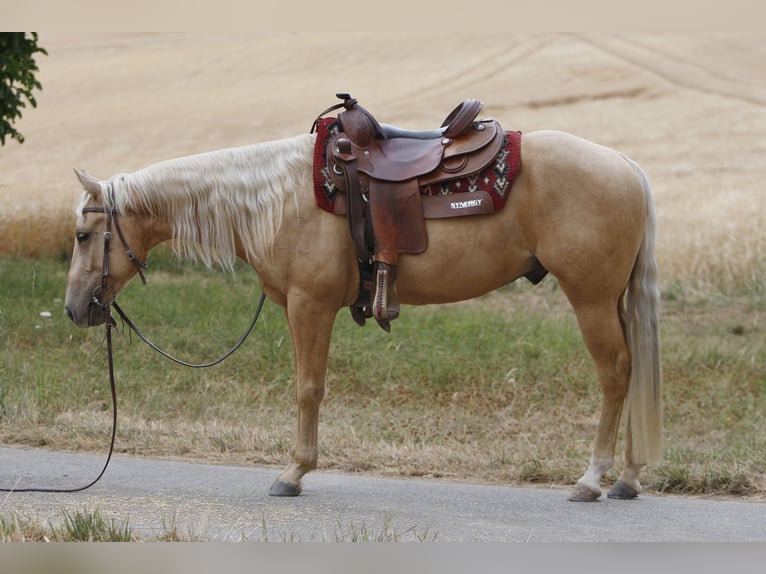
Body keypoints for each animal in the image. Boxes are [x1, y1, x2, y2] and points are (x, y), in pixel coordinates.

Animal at [64, 125, 662, 502]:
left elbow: (308, 388)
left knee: (615, 374)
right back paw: (628, 478)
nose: (74, 309)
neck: (278, 198)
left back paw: (592, 479)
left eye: (84, 235)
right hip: (610, 300)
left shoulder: (310, 305)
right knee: (633, 372)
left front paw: (293, 473)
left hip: (589, 298)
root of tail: (626, 165)